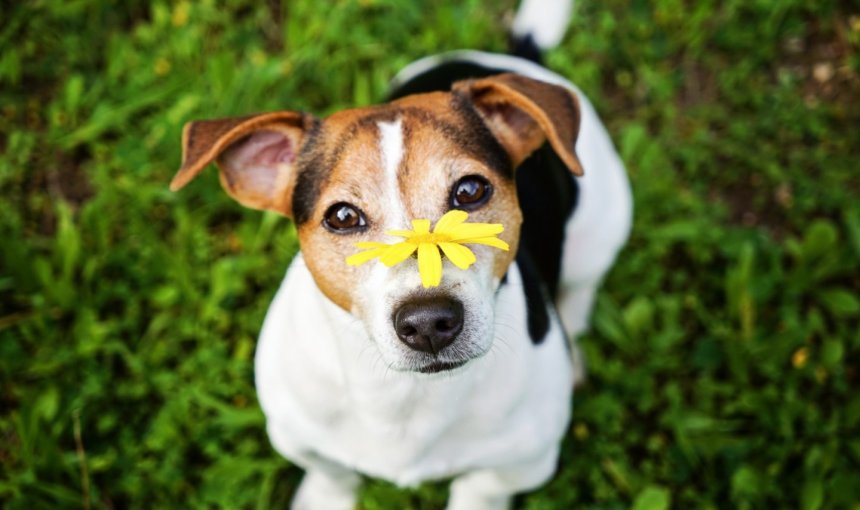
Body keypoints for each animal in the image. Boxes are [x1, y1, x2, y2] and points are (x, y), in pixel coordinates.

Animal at [168, 1, 632, 508]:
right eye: (343, 216)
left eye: (471, 190)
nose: (428, 322)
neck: (406, 394)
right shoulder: (296, 434)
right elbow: (333, 473)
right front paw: (324, 498)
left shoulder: (522, 464)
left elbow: (479, 489)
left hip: (602, 227)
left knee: (580, 293)